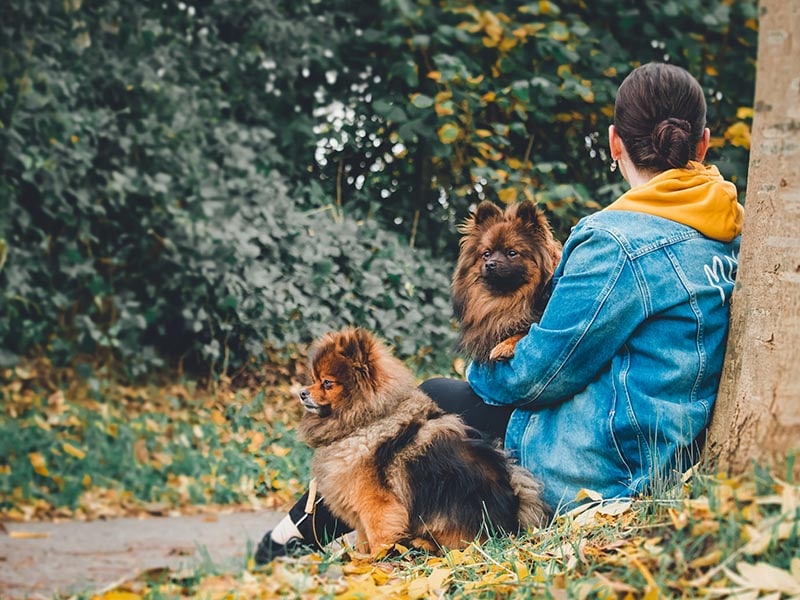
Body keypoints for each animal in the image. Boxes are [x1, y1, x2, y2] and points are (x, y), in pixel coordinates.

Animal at [296, 326, 548, 556]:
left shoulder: (378, 506)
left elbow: (378, 539)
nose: (302, 392)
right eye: (313, 379)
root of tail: (513, 516)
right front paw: (359, 558)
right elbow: (363, 538)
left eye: (327, 383)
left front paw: (372, 564)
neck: (366, 422)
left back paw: (422, 544)